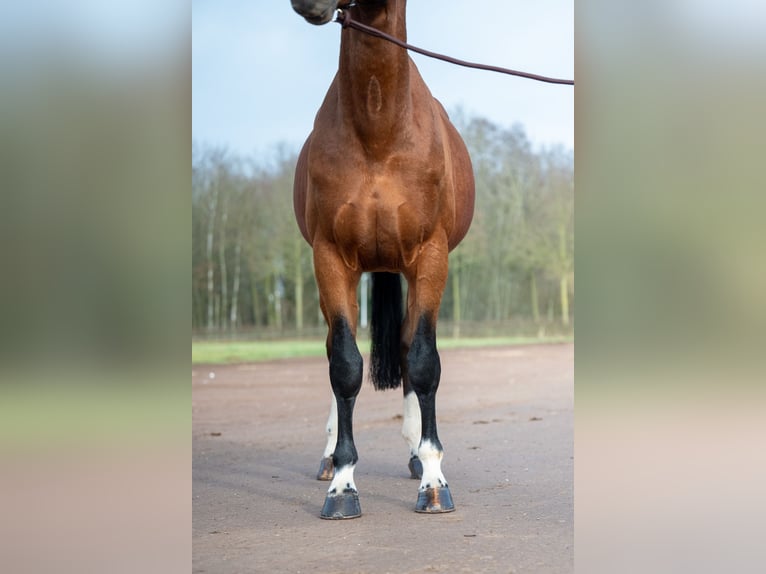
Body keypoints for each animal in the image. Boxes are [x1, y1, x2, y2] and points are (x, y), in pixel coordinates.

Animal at [292, 0, 476, 520]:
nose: (309, 2)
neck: (379, 132)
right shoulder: (331, 259)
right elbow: (344, 365)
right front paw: (342, 484)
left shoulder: (430, 257)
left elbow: (423, 361)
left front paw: (433, 480)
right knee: (336, 349)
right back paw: (329, 459)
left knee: (410, 344)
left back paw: (416, 455)